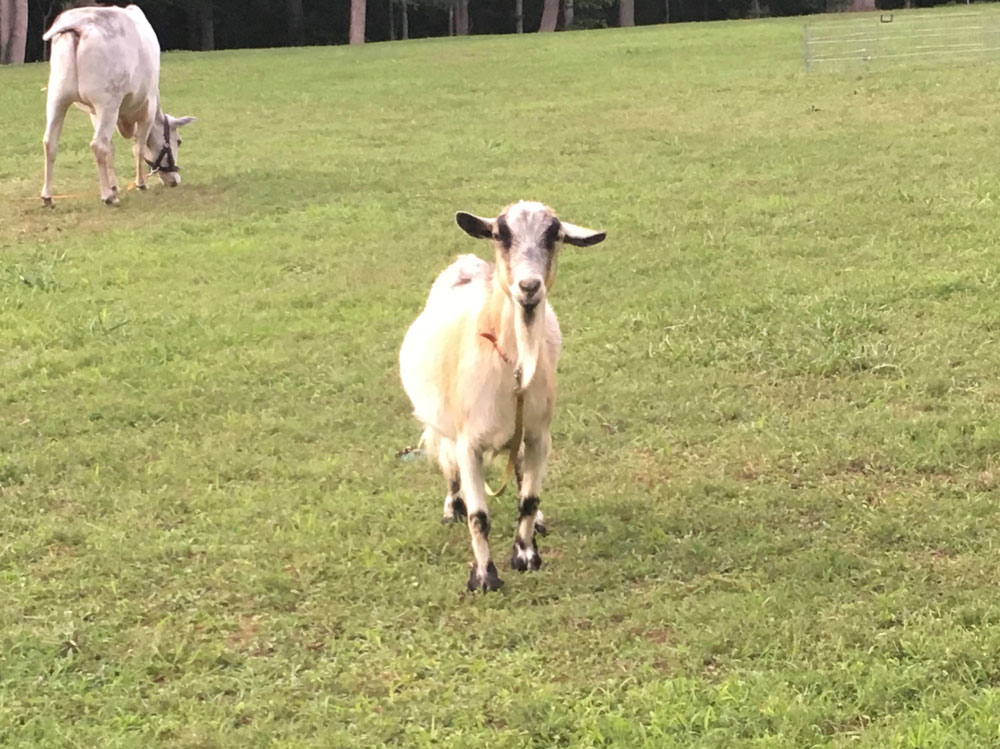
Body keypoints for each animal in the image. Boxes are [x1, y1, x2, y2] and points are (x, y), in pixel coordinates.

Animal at [40, 5, 195, 207]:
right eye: (179, 141)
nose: (175, 180)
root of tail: (79, 24)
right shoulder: (147, 108)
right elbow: (138, 147)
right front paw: (140, 184)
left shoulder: (94, 113)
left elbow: (111, 148)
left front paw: (115, 185)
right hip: (108, 102)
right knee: (98, 144)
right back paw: (108, 196)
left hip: (57, 98)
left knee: (50, 142)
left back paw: (47, 196)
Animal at [400, 200, 604, 592]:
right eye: (500, 234)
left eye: (553, 235)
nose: (529, 286)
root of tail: (467, 262)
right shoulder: (468, 443)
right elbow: (479, 515)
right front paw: (484, 578)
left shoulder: (539, 435)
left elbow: (529, 498)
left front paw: (525, 555)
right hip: (443, 426)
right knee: (448, 464)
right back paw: (452, 507)